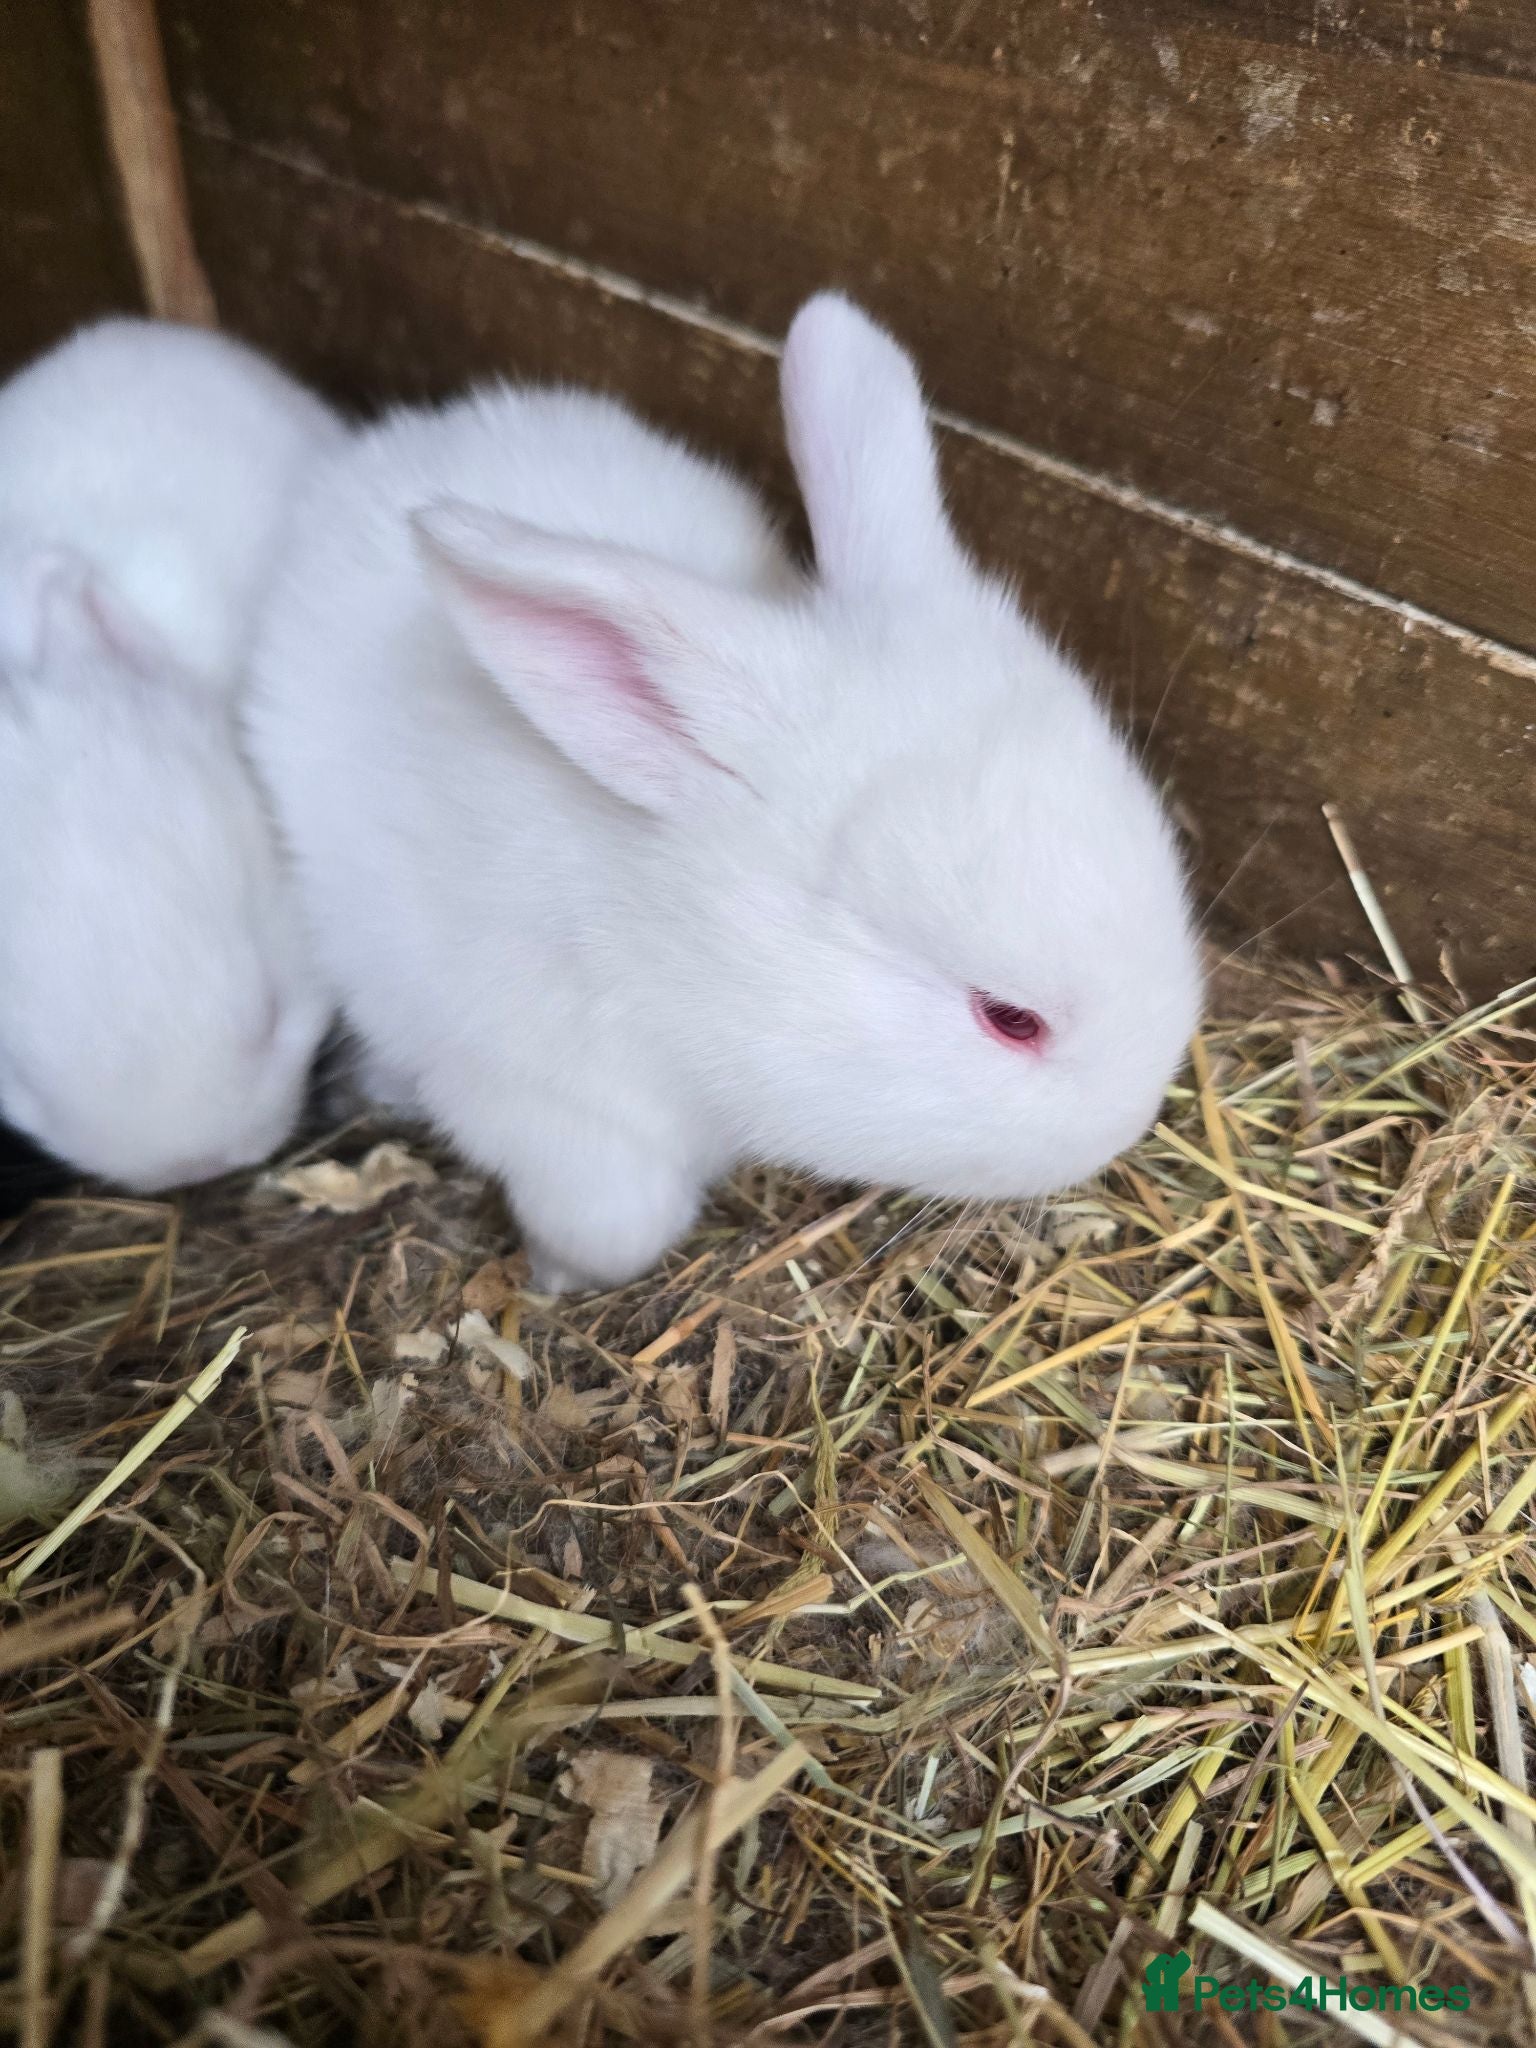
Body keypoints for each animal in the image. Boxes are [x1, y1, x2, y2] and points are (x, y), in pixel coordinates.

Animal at [248, 293, 1202, 1291]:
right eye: (1010, 1019)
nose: (1132, 1118)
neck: (674, 942)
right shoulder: (533, 1094)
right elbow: (617, 1224)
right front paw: (558, 1277)